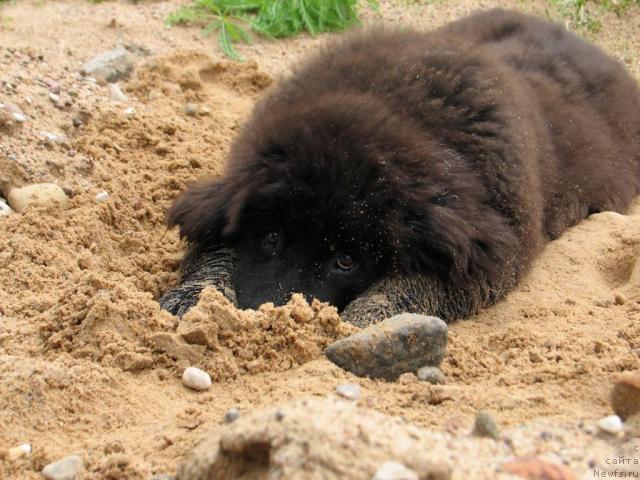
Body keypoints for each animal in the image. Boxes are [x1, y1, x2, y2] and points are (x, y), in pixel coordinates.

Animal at [161, 8, 640, 326]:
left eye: (347, 260)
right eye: (270, 237)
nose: (266, 323)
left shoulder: (491, 253)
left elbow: (412, 286)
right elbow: (213, 245)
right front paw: (195, 295)